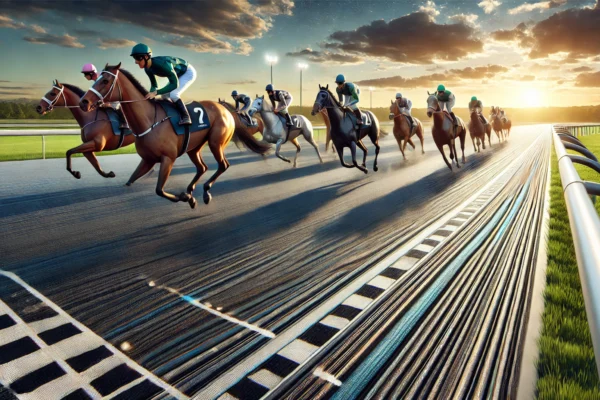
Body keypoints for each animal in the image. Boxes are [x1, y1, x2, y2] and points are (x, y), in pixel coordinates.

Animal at [80, 64, 270, 208]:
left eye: (105, 80)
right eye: (95, 79)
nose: (84, 102)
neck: (149, 120)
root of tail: (226, 110)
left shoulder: (167, 158)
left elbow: (159, 189)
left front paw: (187, 198)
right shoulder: (147, 160)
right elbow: (130, 180)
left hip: (216, 142)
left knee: (223, 165)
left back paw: (205, 191)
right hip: (194, 148)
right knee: (202, 168)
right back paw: (191, 188)